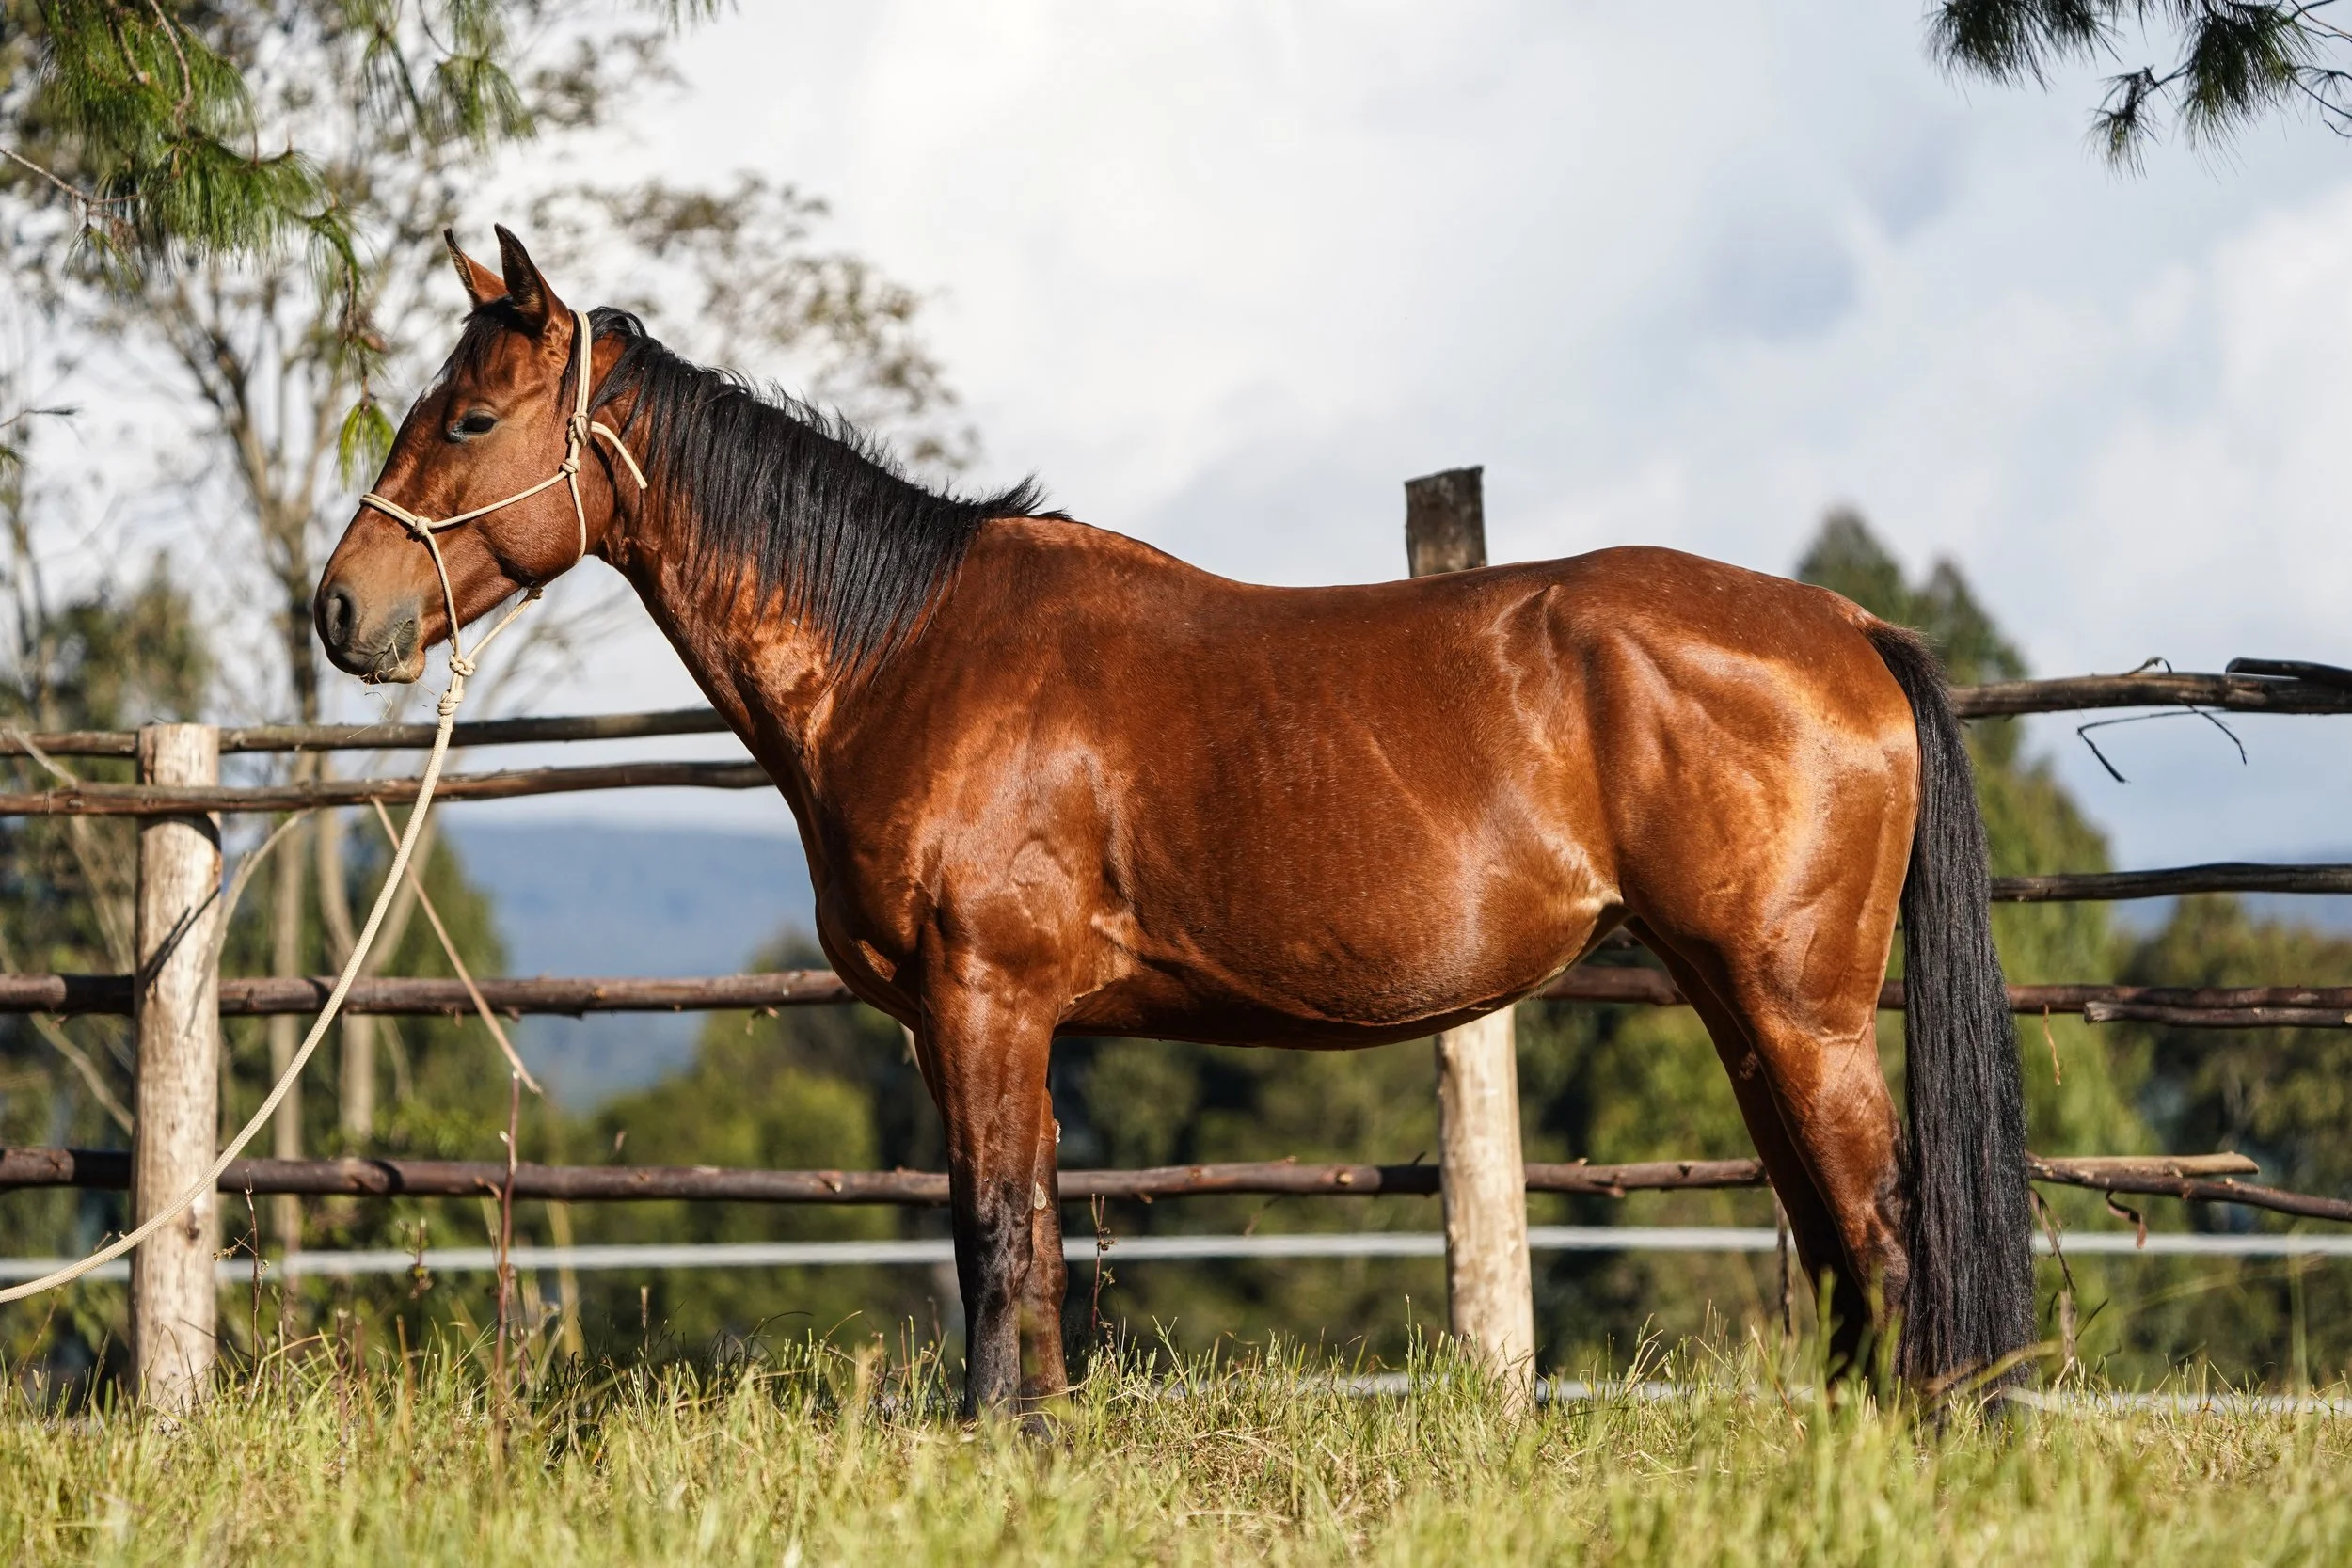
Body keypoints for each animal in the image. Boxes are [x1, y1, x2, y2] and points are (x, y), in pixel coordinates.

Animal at [315, 226, 2035, 1416]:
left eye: (468, 421)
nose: (342, 609)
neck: (909, 645)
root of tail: (1847, 627)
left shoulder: (985, 998)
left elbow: (995, 1236)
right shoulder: (990, 1019)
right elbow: (1017, 1236)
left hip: (1796, 1009)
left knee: (1888, 1237)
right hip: (1745, 1010)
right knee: (1838, 1249)